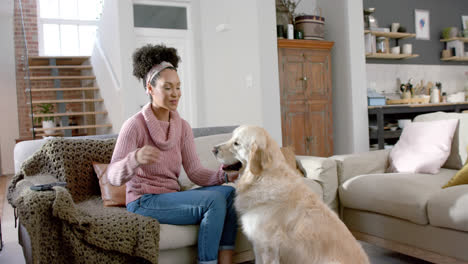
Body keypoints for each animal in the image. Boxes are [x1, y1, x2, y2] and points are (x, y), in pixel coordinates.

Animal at [212, 126, 370, 264]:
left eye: (236, 143)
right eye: (231, 137)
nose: (213, 149)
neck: (262, 177)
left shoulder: (268, 249)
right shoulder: (258, 246)